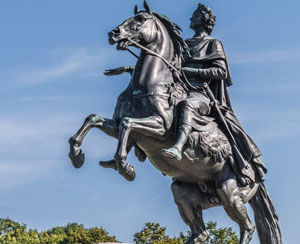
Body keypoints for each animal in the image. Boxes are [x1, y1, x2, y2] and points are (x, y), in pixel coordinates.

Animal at [68, 2, 282, 244]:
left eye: (140, 19)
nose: (114, 34)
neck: (148, 84)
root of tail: (257, 173)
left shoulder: (160, 128)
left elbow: (127, 124)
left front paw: (125, 167)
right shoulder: (116, 124)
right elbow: (93, 119)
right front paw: (77, 155)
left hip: (229, 192)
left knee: (247, 227)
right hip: (184, 193)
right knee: (201, 232)